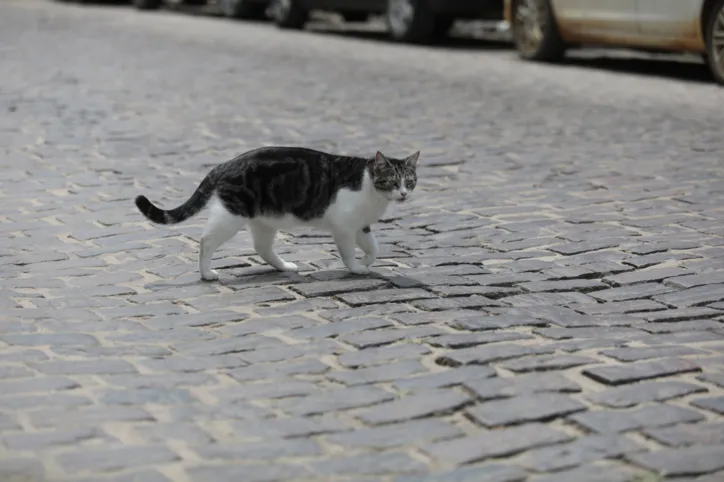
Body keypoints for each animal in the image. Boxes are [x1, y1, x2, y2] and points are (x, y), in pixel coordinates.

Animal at [134, 145, 422, 280]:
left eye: (410, 181)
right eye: (392, 182)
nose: (404, 194)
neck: (371, 189)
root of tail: (224, 164)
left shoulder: (360, 225)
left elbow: (374, 248)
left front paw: (367, 262)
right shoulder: (343, 227)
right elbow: (348, 253)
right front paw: (356, 268)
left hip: (264, 221)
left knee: (261, 248)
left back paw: (284, 266)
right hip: (231, 215)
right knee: (206, 241)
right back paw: (207, 274)